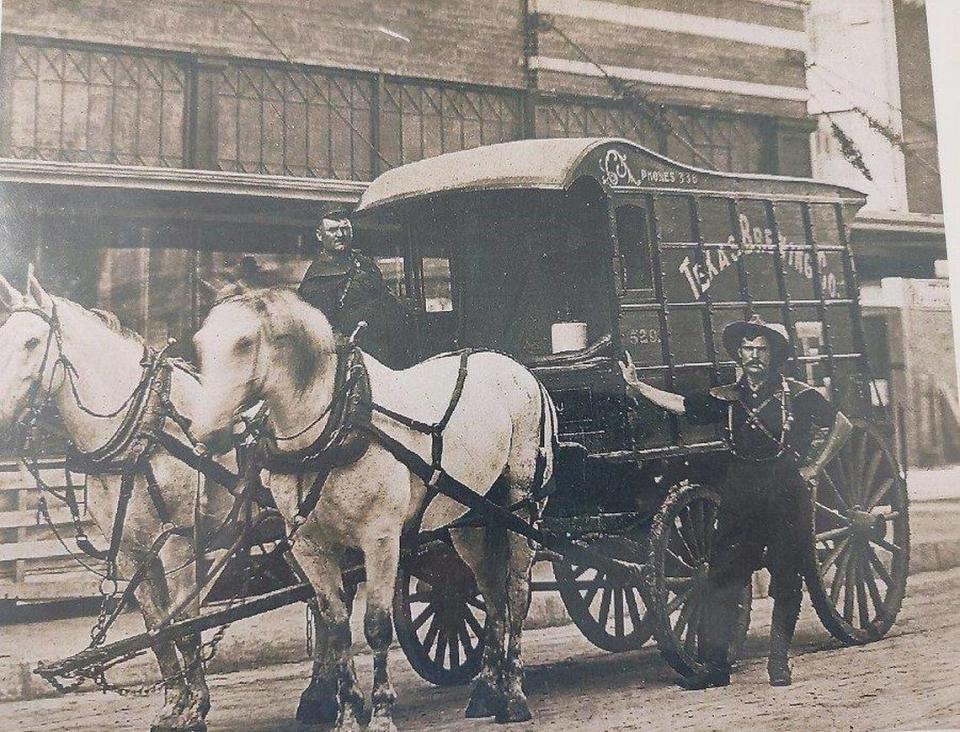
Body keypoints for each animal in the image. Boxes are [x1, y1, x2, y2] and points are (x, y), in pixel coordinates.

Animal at [0, 274, 240, 732]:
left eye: (32, 342)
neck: (145, 433)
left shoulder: (178, 544)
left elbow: (185, 626)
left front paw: (196, 707)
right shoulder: (133, 552)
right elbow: (157, 630)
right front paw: (173, 705)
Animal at [188, 288, 560, 732]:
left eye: (244, 343)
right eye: (200, 344)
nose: (204, 433)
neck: (332, 428)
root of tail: (520, 370)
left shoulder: (380, 539)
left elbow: (377, 626)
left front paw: (381, 713)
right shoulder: (310, 548)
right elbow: (336, 629)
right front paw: (348, 713)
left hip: (522, 505)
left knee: (517, 591)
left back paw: (515, 695)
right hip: (469, 518)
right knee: (491, 593)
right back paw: (488, 689)